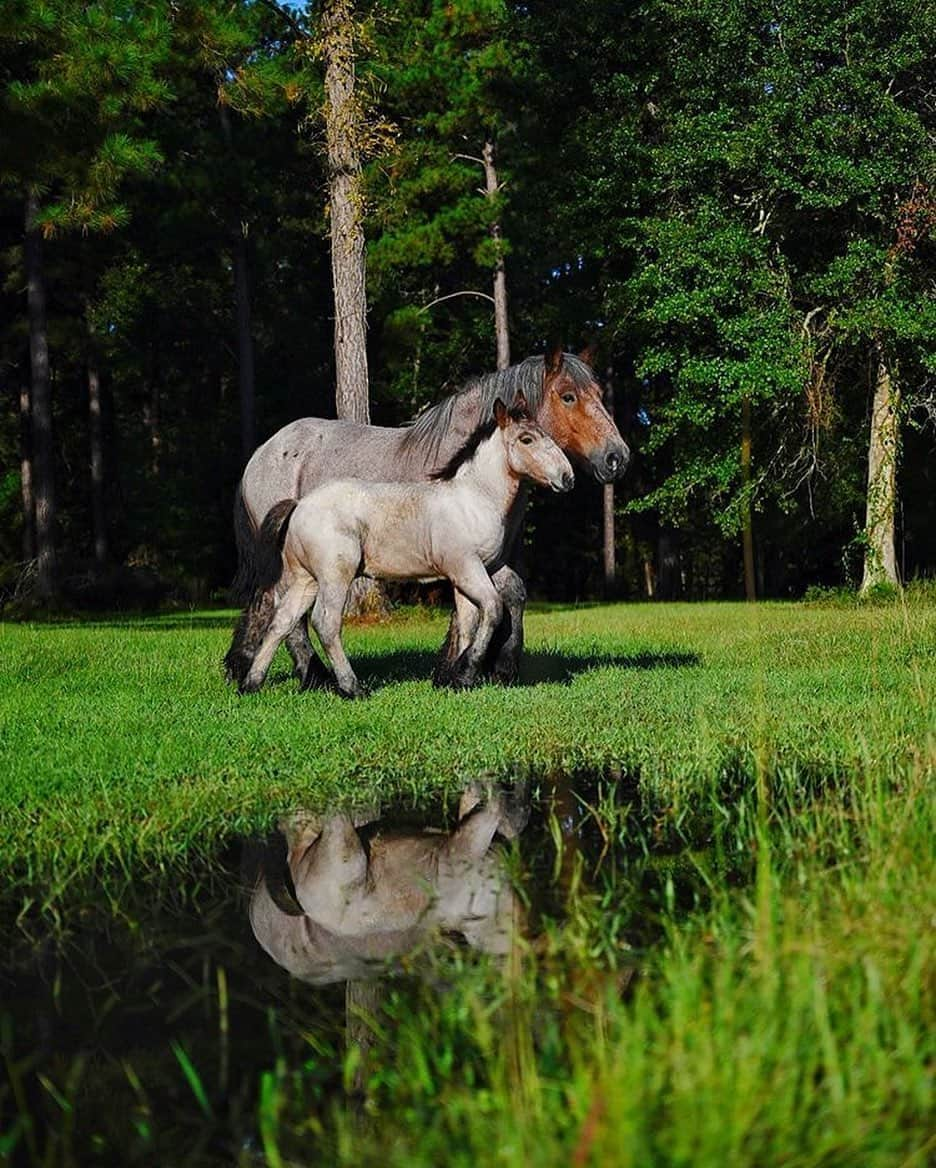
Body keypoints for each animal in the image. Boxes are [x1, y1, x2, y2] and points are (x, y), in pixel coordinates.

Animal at [226, 397, 572, 696]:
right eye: (526, 439)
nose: (566, 477)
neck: (473, 498)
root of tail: (299, 505)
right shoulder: (468, 568)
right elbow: (492, 610)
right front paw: (465, 673)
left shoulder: (473, 573)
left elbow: (469, 623)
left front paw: (453, 678)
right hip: (335, 576)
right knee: (325, 622)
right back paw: (351, 688)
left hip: (306, 579)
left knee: (282, 621)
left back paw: (251, 684)